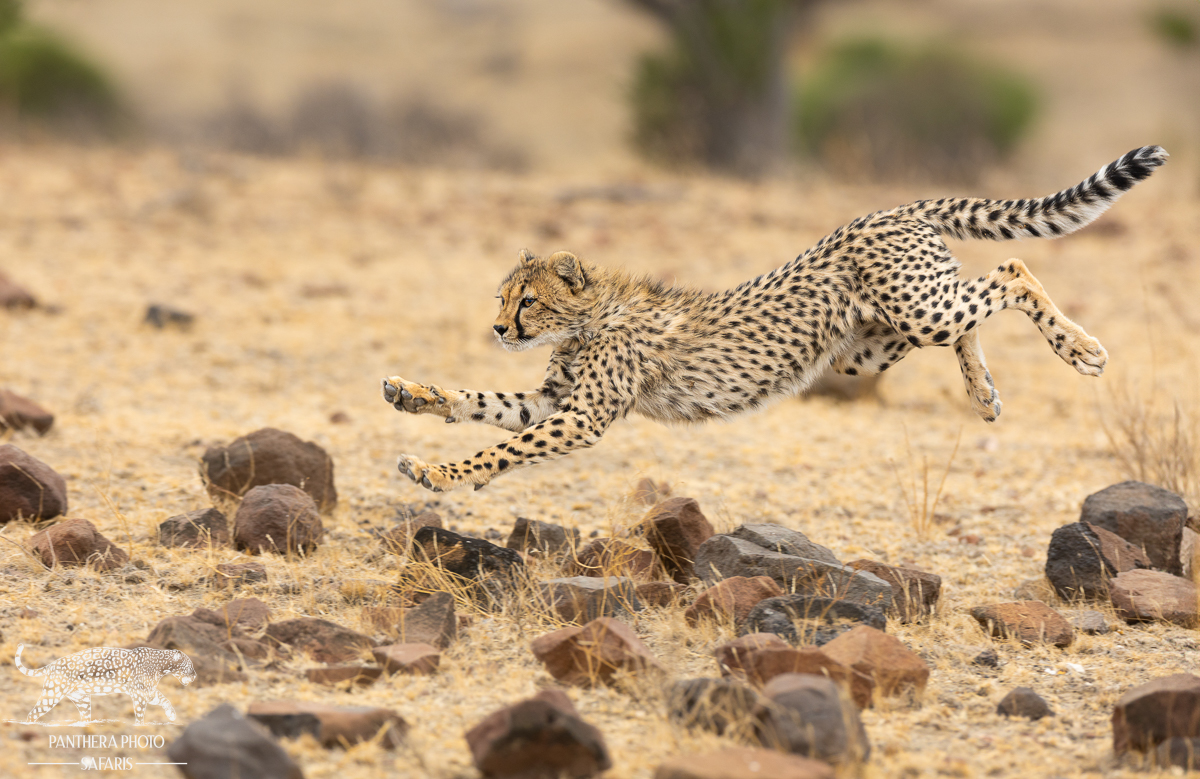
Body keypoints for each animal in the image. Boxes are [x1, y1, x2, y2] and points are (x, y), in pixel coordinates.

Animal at [14, 643, 196, 724]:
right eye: (190, 666)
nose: (195, 676)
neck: (162, 665)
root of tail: (51, 664)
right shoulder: (140, 692)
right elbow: (140, 713)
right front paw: (140, 726)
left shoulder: (147, 691)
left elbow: (164, 699)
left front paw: (171, 715)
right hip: (52, 694)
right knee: (33, 713)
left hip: (82, 699)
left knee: (84, 717)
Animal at [382, 145, 1167, 493]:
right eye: (501, 298)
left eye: (528, 301)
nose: (499, 330)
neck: (588, 318)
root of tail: (889, 209)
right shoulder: (554, 401)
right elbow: (483, 402)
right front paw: (414, 396)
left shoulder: (582, 415)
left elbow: (501, 447)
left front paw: (441, 473)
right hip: (870, 343)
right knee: (970, 315)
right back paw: (983, 393)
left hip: (917, 308)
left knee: (1010, 272)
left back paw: (1082, 349)